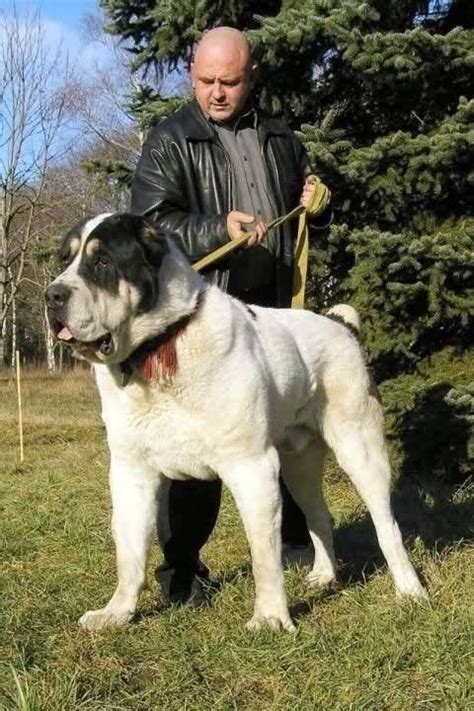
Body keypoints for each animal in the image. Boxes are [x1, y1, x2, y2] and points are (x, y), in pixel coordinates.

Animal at [47, 213, 426, 636]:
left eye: (103, 262)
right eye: (65, 259)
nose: (52, 295)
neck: (160, 347)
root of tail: (340, 324)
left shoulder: (251, 468)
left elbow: (264, 554)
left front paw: (271, 617)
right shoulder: (131, 472)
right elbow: (129, 551)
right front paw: (118, 612)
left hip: (359, 447)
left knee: (386, 525)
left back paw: (409, 589)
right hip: (298, 465)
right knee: (318, 514)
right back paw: (324, 576)